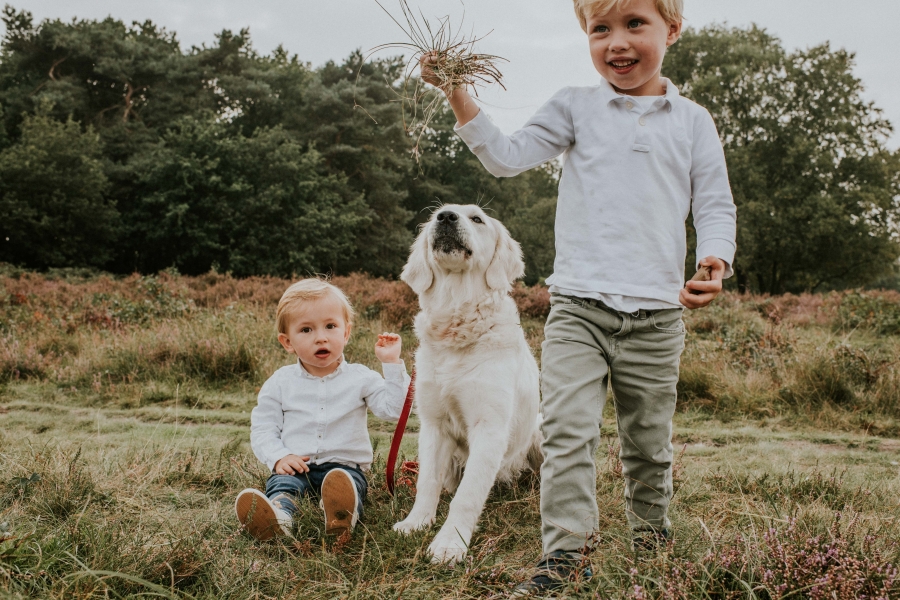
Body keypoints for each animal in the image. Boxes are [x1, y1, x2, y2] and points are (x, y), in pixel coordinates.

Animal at [394, 204, 540, 564]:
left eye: (477, 219)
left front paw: (449, 544)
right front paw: (416, 523)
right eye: (436, 214)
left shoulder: (489, 426)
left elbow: (468, 495)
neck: (456, 323)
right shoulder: (433, 424)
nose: (446, 217)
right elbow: (427, 482)